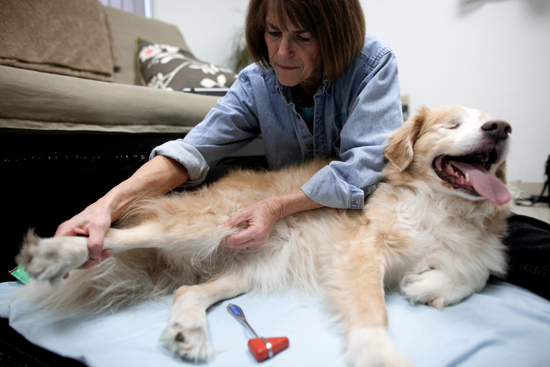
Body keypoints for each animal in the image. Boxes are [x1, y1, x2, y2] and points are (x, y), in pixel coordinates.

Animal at [15, 105, 512, 366]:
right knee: (119, 236)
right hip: (209, 225)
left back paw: (188, 332)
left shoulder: (475, 253)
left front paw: (428, 285)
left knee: (187, 291)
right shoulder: (362, 252)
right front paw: (380, 355)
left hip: (248, 268)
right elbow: (374, 313)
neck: (443, 207)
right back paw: (56, 252)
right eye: (452, 125)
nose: (502, 127)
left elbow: (479, 273)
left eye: (490, 120)